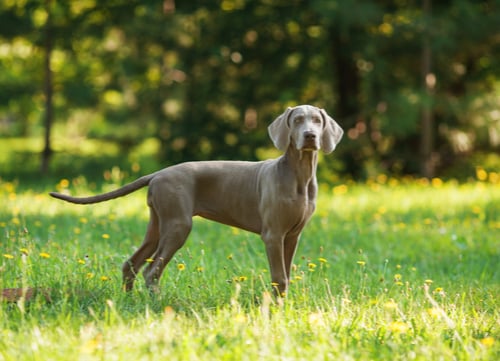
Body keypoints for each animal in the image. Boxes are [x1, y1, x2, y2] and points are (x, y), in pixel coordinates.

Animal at [50, 105, 344, 296]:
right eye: (297, 120)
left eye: (317, 120)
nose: (310, 136)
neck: (299, 174)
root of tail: (158, 173)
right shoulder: (273, 235)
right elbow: (278, 277)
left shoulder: (292, 235)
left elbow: (286, 276)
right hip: (178, 224)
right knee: (151, 271)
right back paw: (155, 304)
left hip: (158, 223)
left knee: (131, 264)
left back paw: (128, 300)